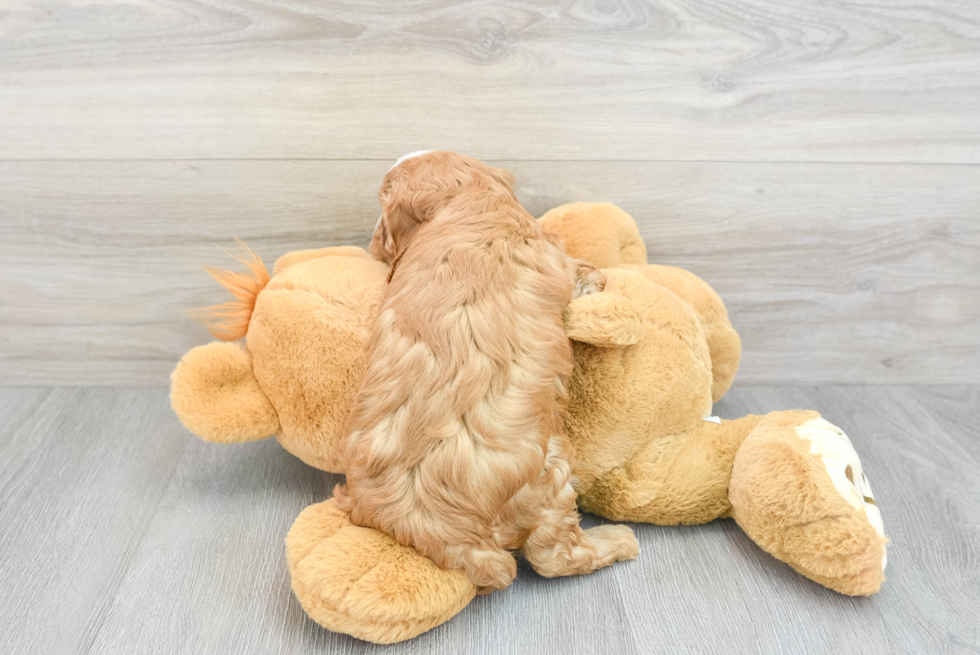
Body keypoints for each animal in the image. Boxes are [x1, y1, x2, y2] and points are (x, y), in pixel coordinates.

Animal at [336, 151, 640, 592]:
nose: (372, 244)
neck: (469, 200)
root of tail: (448, 534)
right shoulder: (552, 253)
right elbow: (582, 272)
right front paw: (597, 281)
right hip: (552, 472)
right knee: (555, 556)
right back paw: (616, 541)